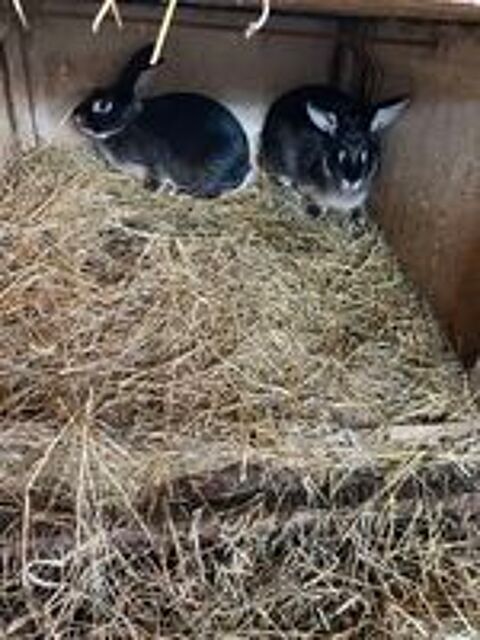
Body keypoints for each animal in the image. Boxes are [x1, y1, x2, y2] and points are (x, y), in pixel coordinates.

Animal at [72, 44, 252, 198]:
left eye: (103, 105)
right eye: (93, 92)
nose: (76, 116)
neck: (126, 124)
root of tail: (244, 167)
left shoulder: (153, 164)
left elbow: (157, 178)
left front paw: (153, 190)